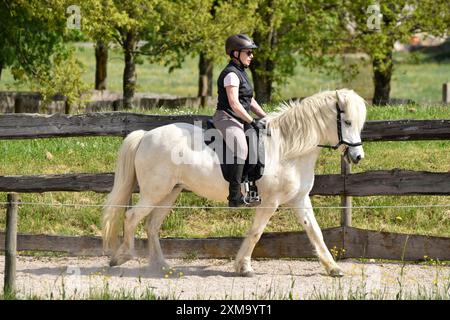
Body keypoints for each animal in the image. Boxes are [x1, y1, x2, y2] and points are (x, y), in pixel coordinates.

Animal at [103, 89, 368, 276]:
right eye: (347, 122)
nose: (357, 157)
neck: (287, 150)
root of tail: (146, 135)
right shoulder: (270, 202)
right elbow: (256, 232)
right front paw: (244, 267)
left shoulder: (299, 199)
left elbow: (315, 231)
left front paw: (333, 268)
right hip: (154, 192)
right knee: (131, 217)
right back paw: (122, 256)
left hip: (169, 193)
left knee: (151, 225)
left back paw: (161, 266)